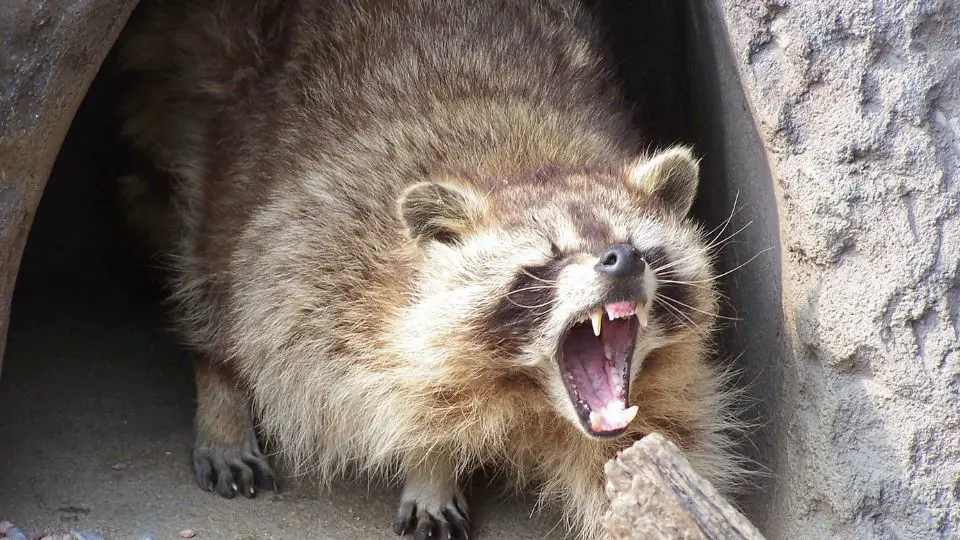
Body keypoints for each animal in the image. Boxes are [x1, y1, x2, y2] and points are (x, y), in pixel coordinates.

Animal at [114, 1, 744, 540]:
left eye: (640, 247)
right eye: (547, 260)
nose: (622, 261)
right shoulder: (320, 251)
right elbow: (351, 377)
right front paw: (431, 459)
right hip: (216, 94)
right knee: (210, 255)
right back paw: (219, 384)